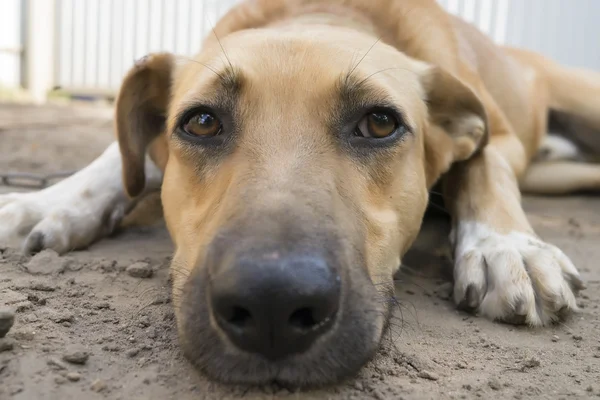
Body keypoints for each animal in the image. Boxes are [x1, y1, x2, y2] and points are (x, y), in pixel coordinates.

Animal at [0, 0, 596, 388]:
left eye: (380, 123)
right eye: (201, 122)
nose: (272, 303)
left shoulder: (496, 135)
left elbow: (483, 167)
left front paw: (506, 245)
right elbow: (118, 158)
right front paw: (50, 202)